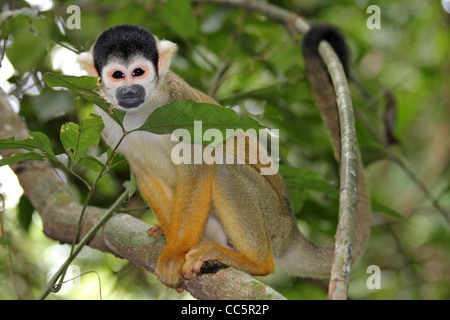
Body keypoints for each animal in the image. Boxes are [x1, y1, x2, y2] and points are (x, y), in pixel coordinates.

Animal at [77, 25, 370, 290]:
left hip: (272, 218)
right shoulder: (108, 120)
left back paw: (256, 261)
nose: (129, 91)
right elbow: (144, 174)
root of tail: (291, 232)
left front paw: (174, 253)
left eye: (138, 72)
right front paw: (171, 238)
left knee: (222, 166)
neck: (139, 113)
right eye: (118, 75)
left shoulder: (177, 105)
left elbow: (199, 167)